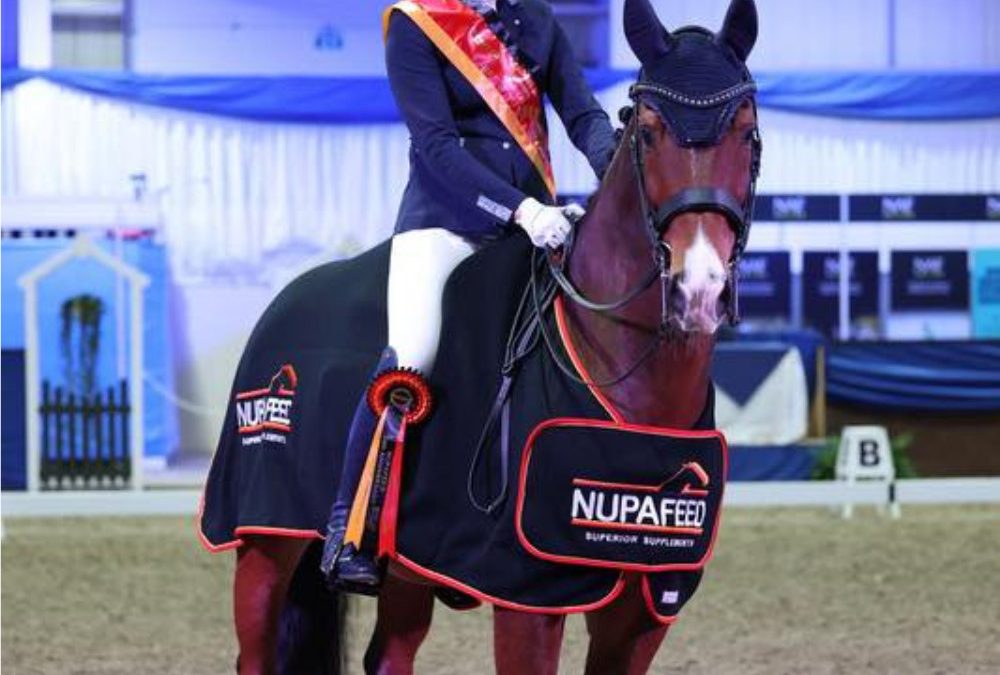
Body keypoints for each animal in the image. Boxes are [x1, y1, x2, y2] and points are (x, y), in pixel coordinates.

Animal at [197, 0, 761, 672]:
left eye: (748, 132)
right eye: (647, 132)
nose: (697, 287)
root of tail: (285, 301)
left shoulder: (645, 609)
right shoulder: (528, 598)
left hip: (407, 568)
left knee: (389, 655)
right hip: (263, 542)